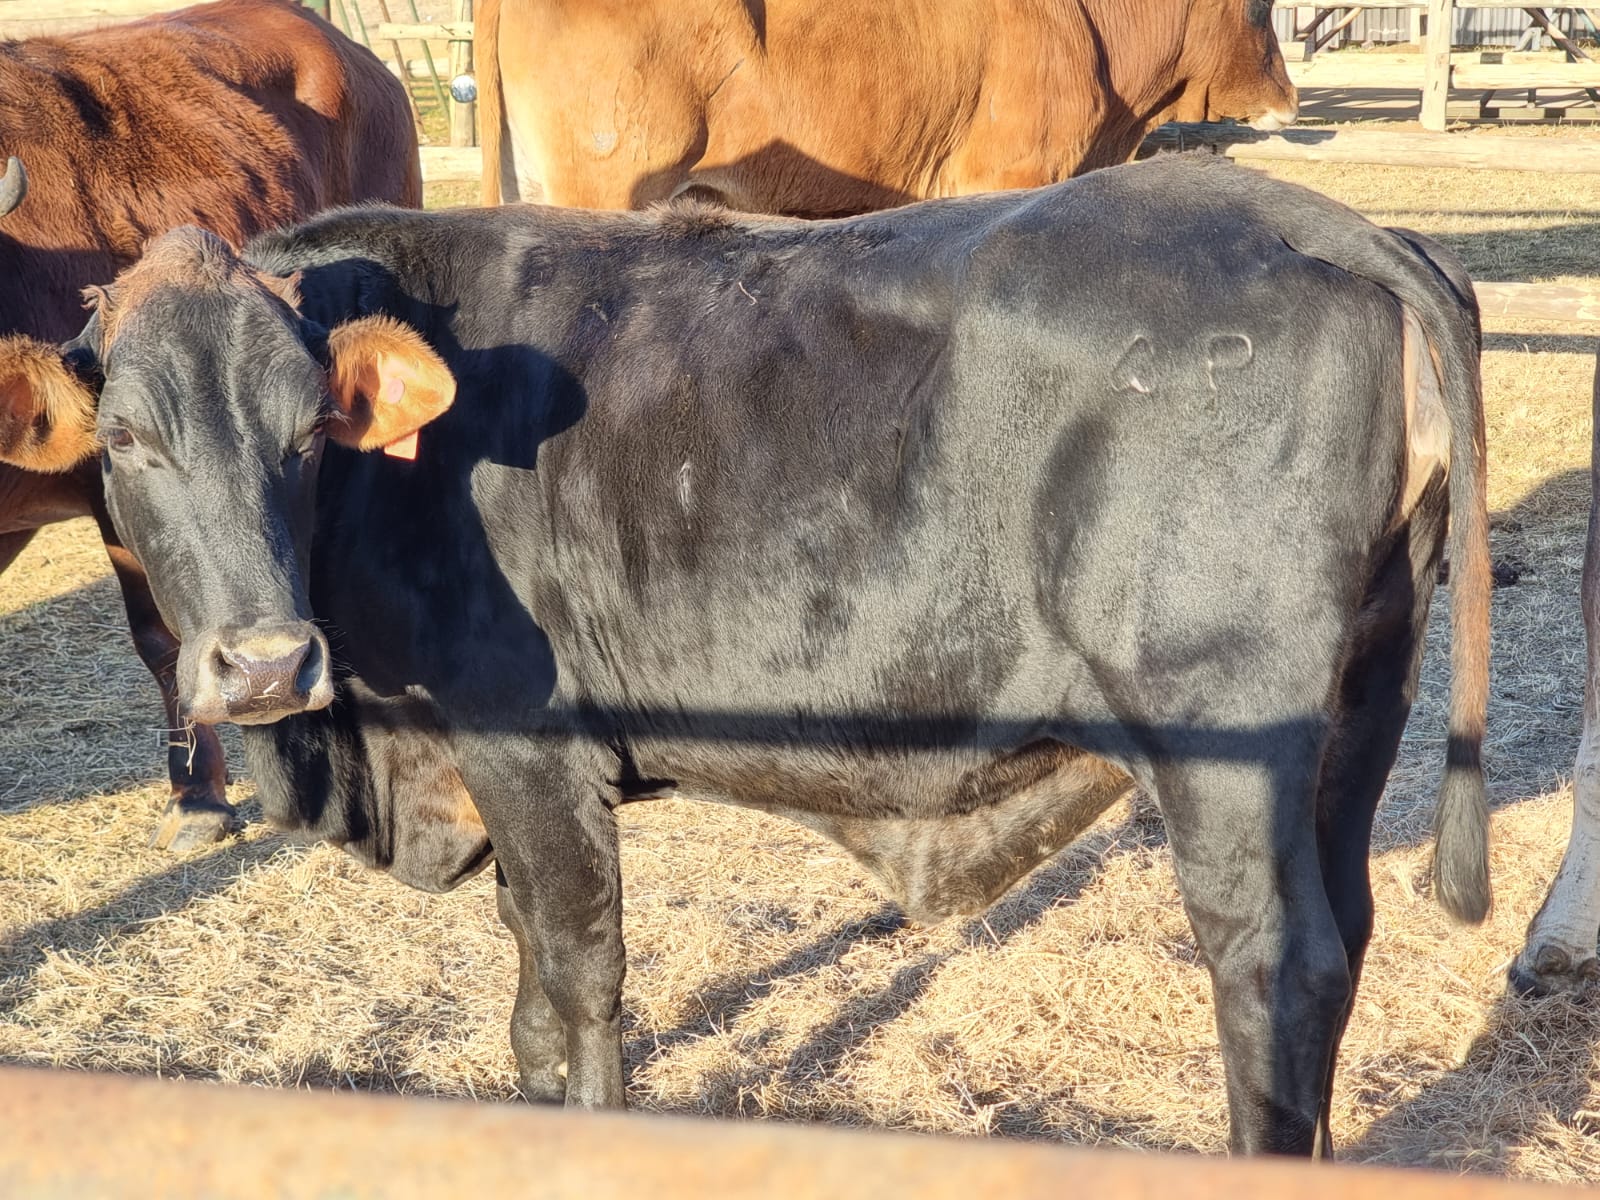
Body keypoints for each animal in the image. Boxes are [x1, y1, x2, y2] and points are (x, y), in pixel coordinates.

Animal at [0, 154, 1489, 1156]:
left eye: (308, 428)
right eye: (127, 440)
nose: (263, 663)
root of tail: (1312, 220)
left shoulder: (528, 750)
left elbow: (576, 980)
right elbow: (531, 976)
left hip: (1225, 748)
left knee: (1274, 970)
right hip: (1362, 712)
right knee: (1344, 939)